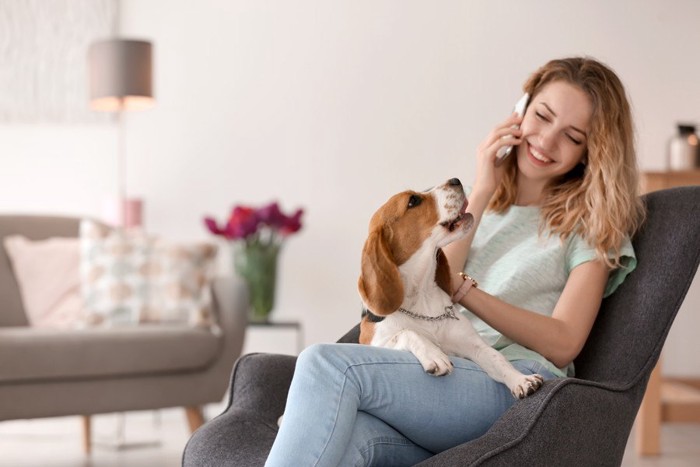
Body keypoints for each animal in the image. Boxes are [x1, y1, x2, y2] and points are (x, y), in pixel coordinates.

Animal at [358, 177, 544, 400]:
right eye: (413, 201)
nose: (455, 180)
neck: (423, 298)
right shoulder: (374, 342)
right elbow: (406, 333)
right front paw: (434, 354)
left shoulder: (473, 345)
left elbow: (496, 357)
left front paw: (521, 380)